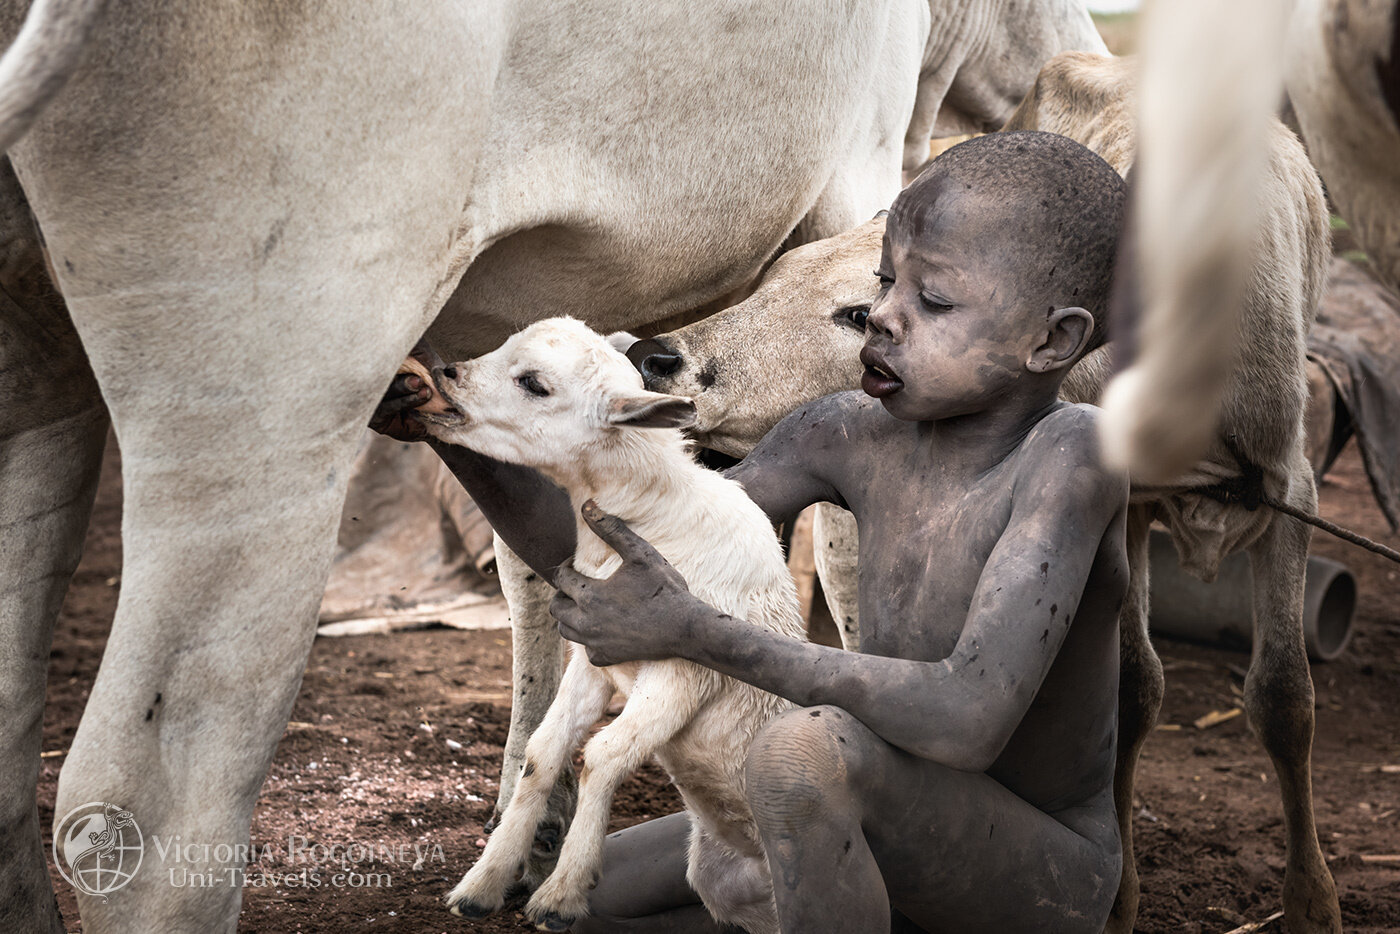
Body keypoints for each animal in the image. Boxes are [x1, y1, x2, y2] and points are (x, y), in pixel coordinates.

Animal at [420, 317, 806, 929]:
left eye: (534, 384)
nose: (447, 374)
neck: (654, 515)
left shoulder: (682, 671)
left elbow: (603, 754)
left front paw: (561, 893)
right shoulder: (593, 655)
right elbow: (543, 750)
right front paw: (484, 883)